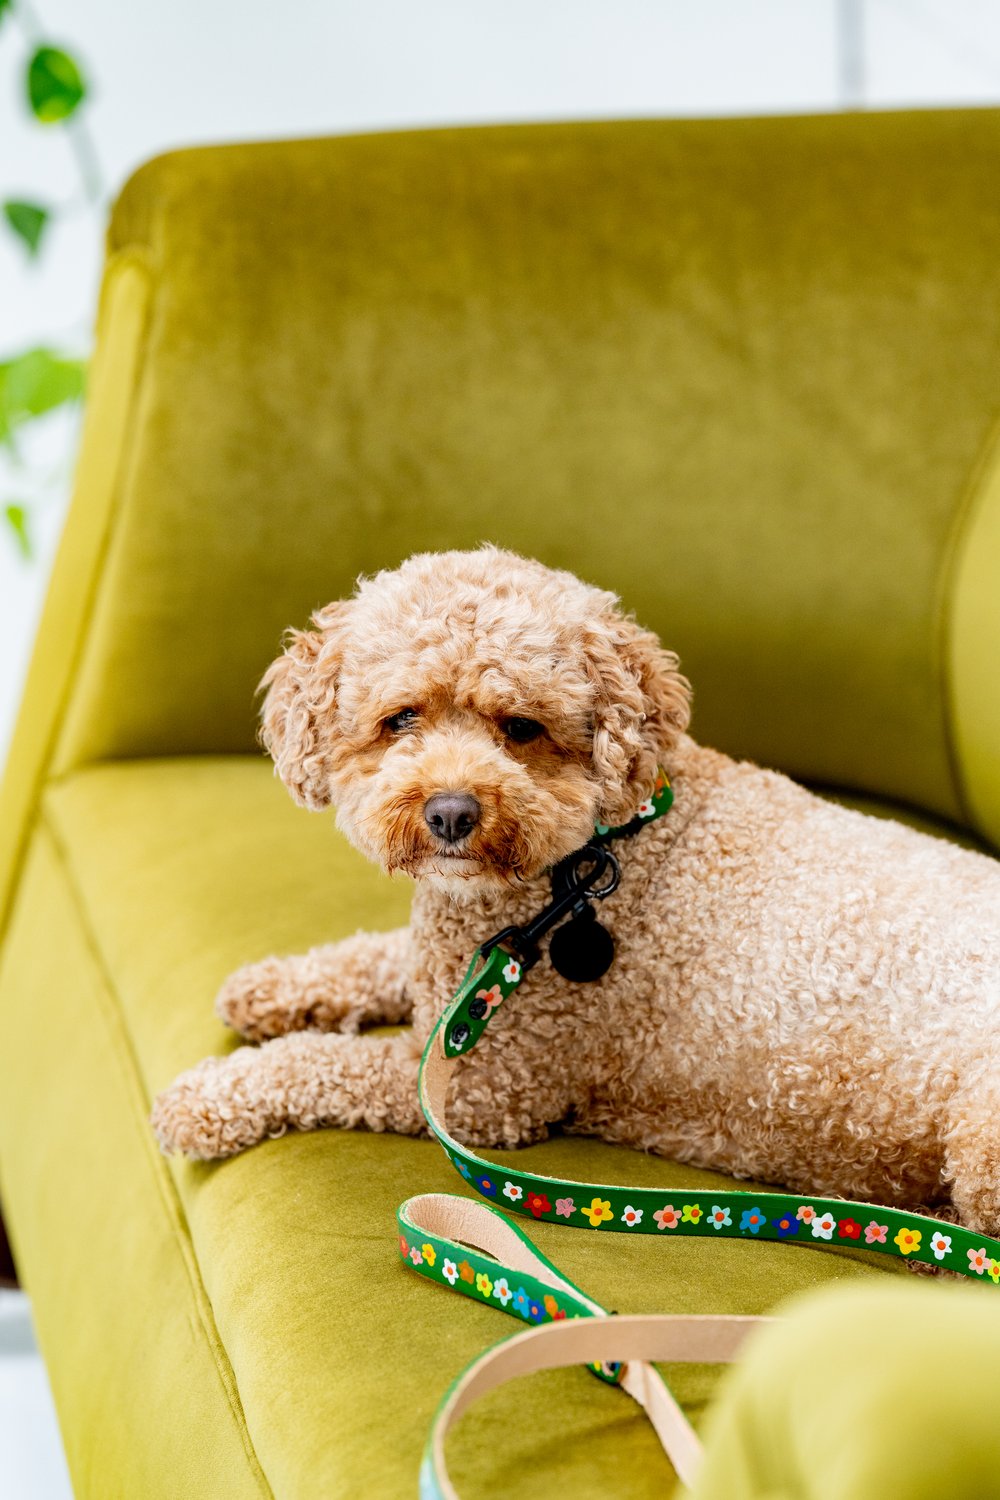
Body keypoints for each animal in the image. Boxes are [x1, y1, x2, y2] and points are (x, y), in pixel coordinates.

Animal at [152, 546, 1000, 1236]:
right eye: (401, 719)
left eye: (521, 727)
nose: (452, 813)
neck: (586, 868)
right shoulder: (463, 970)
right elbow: (376, 957)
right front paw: (271, 987)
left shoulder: (490, 1086)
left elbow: (319, 1064)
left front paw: (203, 1099)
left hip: (980, 1138)